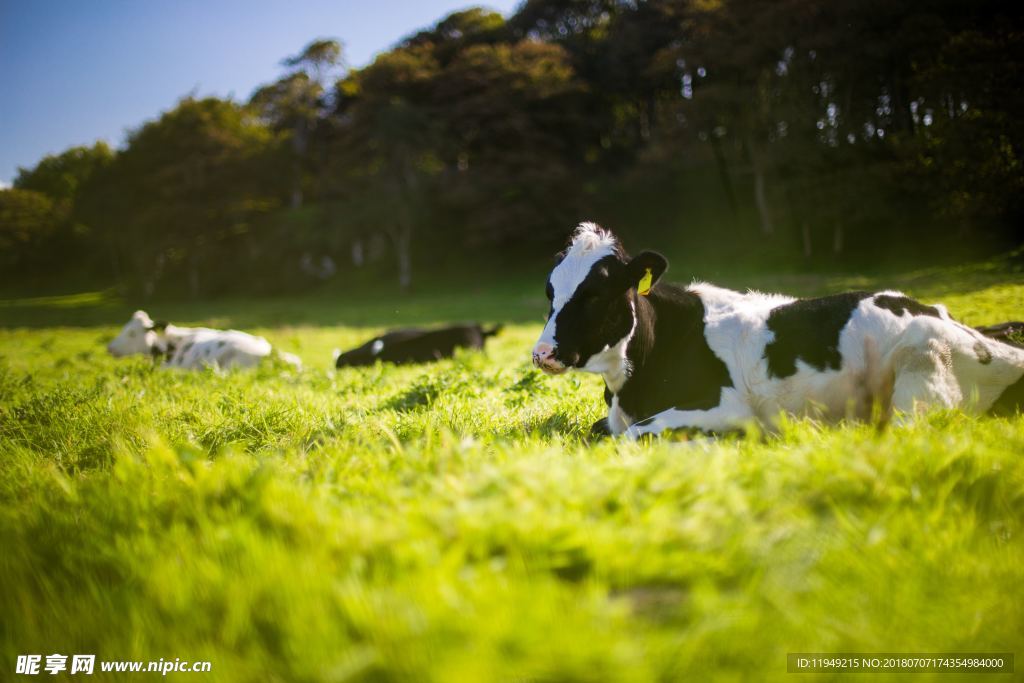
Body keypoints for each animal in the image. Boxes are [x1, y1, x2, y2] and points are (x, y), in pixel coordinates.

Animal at [528, 222, 1024, 440]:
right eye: (550, 291)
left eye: (596, 293)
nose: (542, 353)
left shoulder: (724, 404)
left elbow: (633, 435)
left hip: (920, 377)